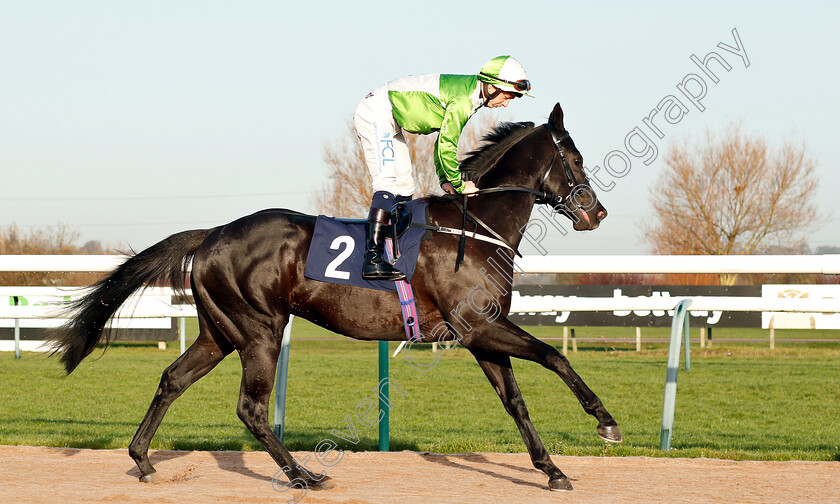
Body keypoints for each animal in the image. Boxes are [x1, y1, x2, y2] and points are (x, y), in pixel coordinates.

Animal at [50, 103, 616, 492]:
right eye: (575, 158)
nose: (597, 213)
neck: (474, 228)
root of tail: (212, 234)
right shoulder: (479, 326)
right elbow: (555, 356)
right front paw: (605, 422)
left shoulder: (481, 335)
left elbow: (516, 402)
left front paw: (552, 470)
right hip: (260, 331)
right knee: (251, 408)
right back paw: (302, 474)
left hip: (220, 331)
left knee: (172, 379)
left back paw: (143, 458)